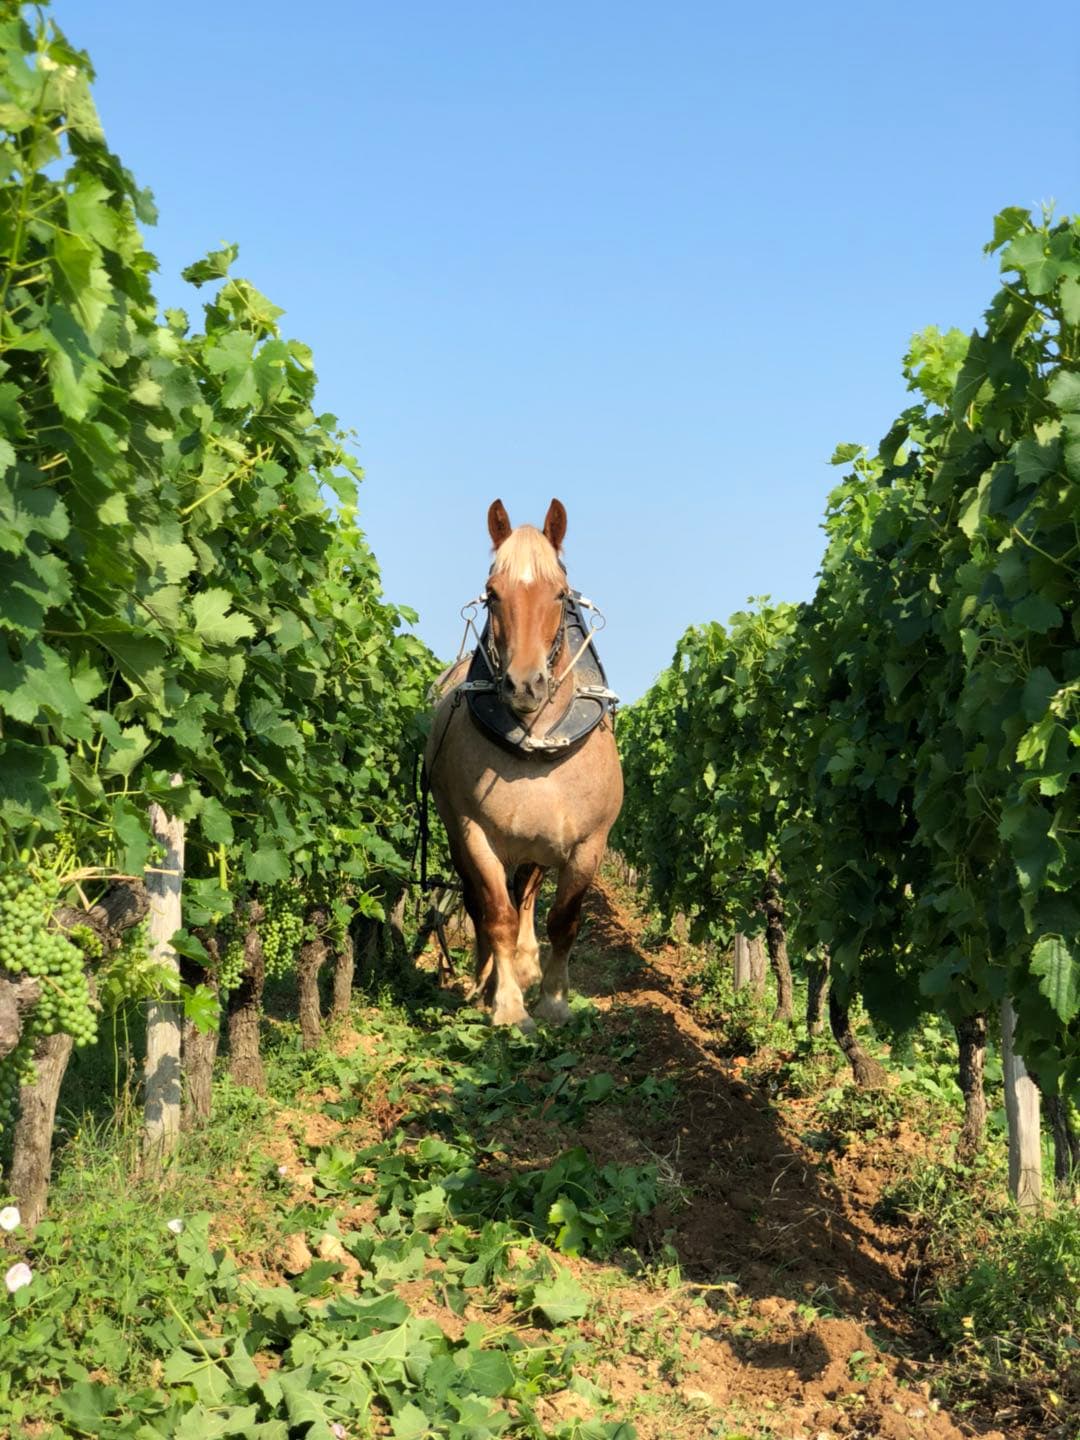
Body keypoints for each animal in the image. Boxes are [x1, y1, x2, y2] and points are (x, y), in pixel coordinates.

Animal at [424, 498, 623, 1030]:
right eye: (494, 594)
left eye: (559, 594)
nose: (524, 685)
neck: (534, 744)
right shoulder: (475, 835)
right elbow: (496, 914)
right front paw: (508, 1004)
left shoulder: (588, 844)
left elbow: (563, 919)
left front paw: (553, 999)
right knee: (480, 904)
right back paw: (485, 978)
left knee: (529, 895)